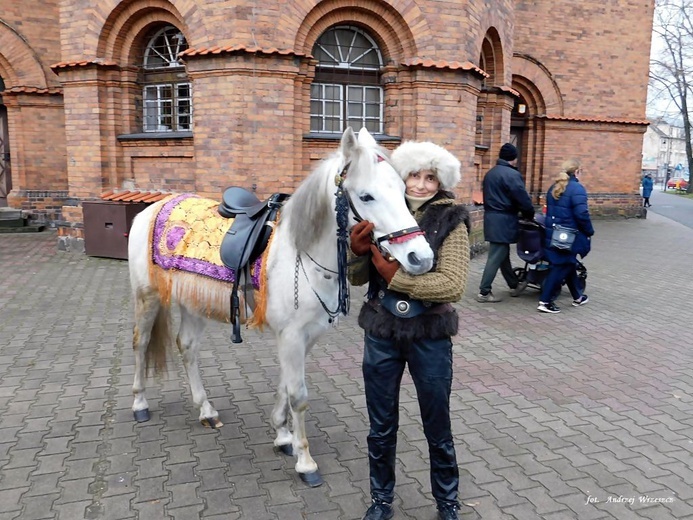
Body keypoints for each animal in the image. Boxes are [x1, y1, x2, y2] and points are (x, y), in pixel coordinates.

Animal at [127, 128, 432, 486]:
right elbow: (298, 396)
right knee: (141, 343)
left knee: (186, 347)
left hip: (193, 302)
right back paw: (140, 403)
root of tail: (153, 207)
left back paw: (206, 410)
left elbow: (286, 387)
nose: (420, 258)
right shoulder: (291, 336)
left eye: (402, 190)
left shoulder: (306, 337)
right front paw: (305, 462)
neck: (301, 253)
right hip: (147, 296)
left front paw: (283, 436)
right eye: (367, 196)